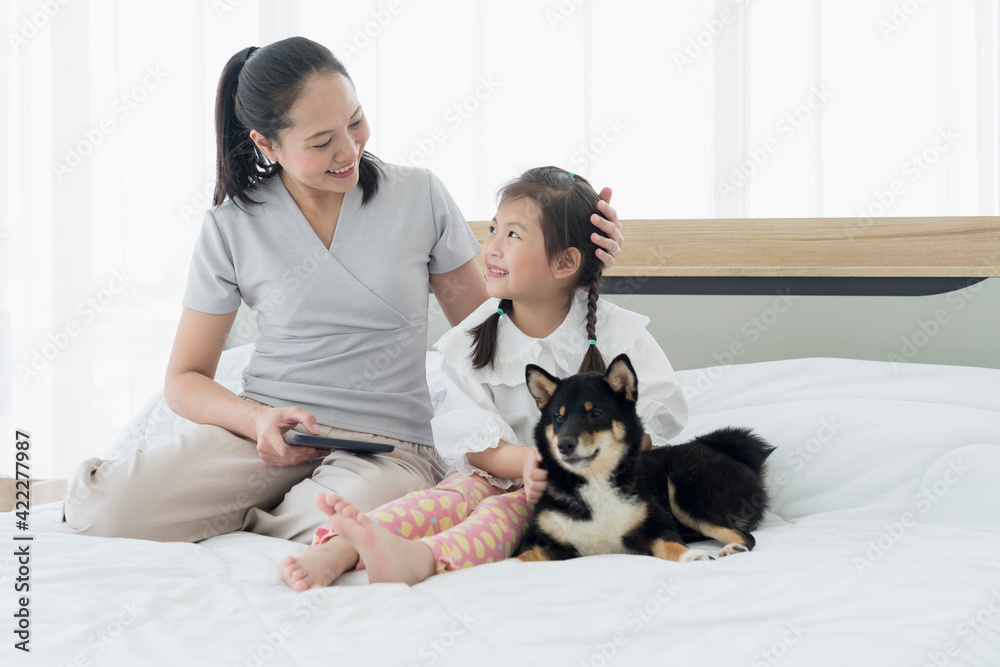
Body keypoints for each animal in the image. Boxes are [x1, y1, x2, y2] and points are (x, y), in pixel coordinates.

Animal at [516, 354, 772, 564]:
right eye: (559, 417)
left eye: (596, 413)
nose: (564, 445)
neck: (596, 482)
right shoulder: (540, 540)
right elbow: (520, 559)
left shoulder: (655, 527)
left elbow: (671, 545)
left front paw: (692, 556)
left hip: (687, 495)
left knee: (744, 535)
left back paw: (733, 548)